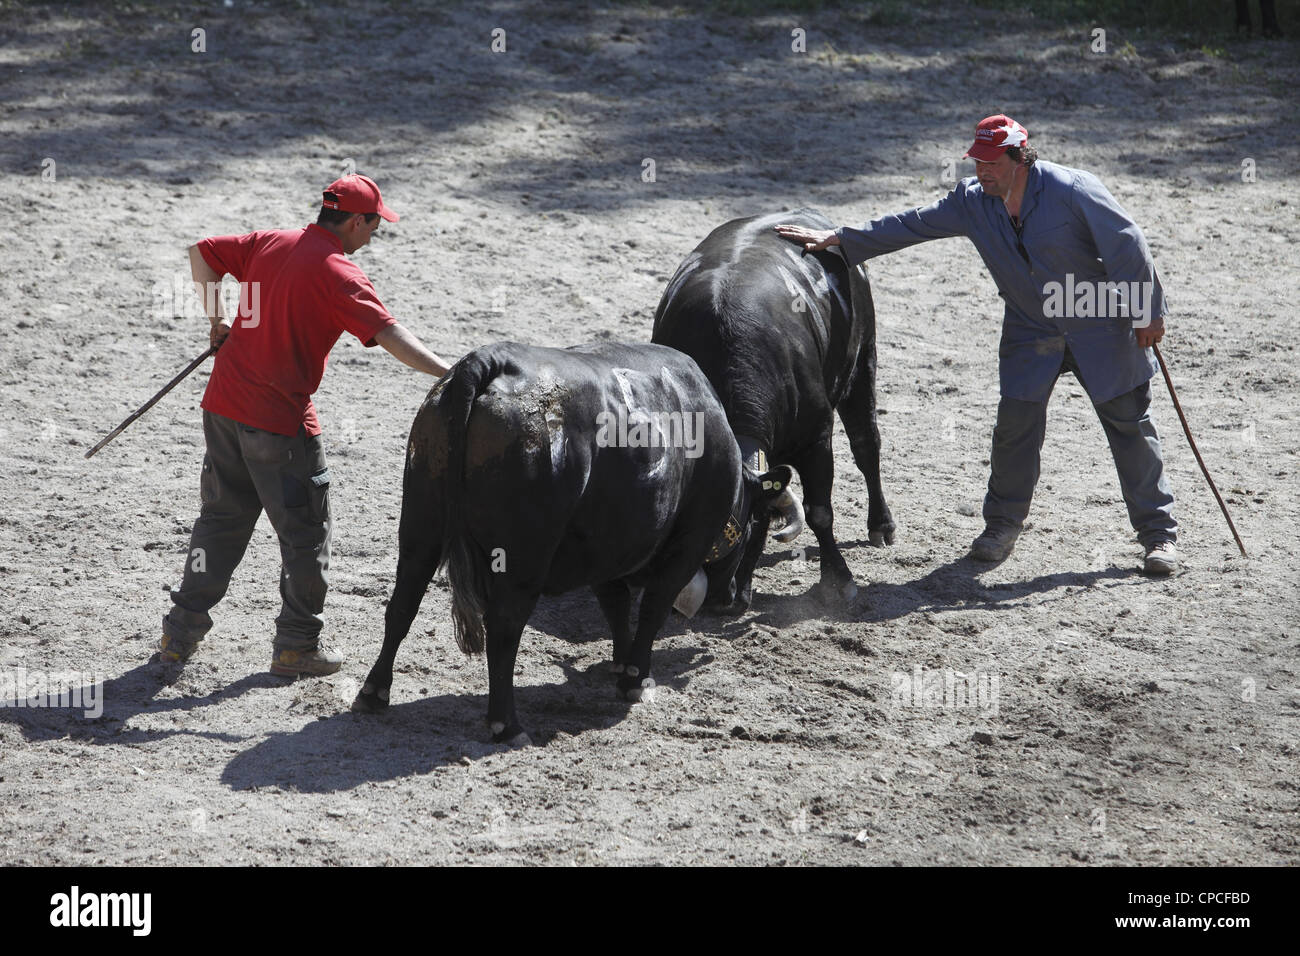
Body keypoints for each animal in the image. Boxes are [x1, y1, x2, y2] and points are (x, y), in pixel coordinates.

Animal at [351, 340, 785, 743]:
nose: (734, 600)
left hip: (420, 529)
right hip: (523, 559)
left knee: (402, 606)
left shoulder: (607, 551)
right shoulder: (686, 546)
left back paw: (374, 692)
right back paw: (506, 724)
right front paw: (635, 677)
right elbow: (652, 609)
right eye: (755, 529)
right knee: (503, 628)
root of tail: (487, 360)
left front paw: (620, 663)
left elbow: (616, 606)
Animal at [650, 210, 894, 613]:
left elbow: (819, 510)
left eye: (740, 532)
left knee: (866, 444)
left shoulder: (816, 437)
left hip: (863, 362)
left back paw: (881, 525)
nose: (718, 599)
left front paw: (838, 580)